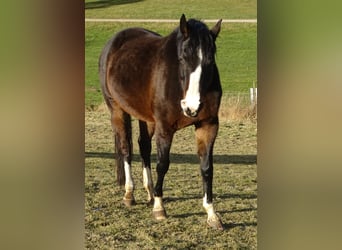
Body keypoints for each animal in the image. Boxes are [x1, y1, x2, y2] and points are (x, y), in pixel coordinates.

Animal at [97, 14, 223, 229]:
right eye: (182, 57)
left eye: (210, 59)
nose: (191, 107)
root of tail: (113, 44)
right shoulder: (165, 128)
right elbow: (162, 164)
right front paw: (159, 208)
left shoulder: (208, 125)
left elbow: (207, 168)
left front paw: (211, 214)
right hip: (117, 109)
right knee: (125, 149)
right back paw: (130, 193)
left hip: (146, 118)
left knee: (143, 146)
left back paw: (149, 190)